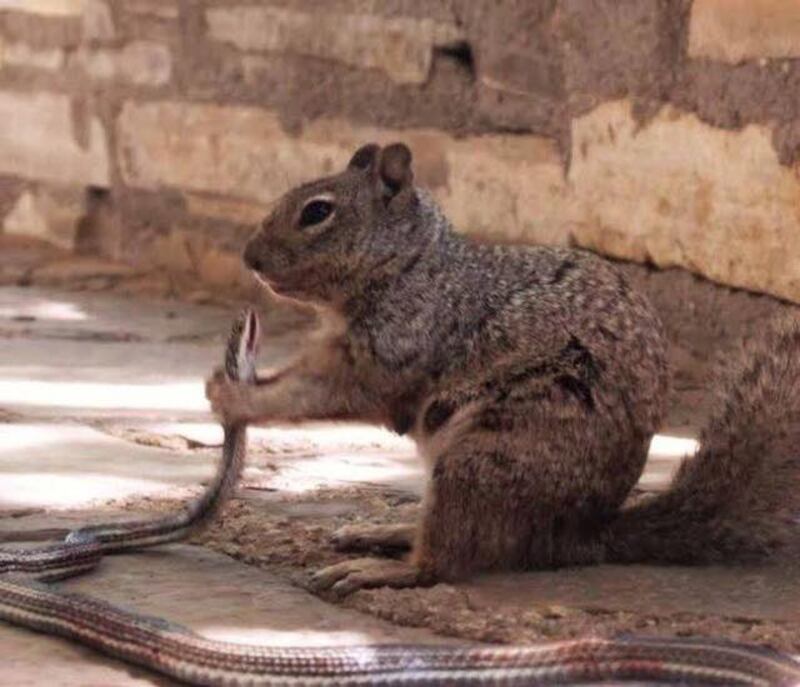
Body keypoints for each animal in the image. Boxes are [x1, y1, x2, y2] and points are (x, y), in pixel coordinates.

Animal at [205, 141, 800, 596]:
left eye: (317, 212)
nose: (249, 258)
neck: (411, 267)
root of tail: (578, 534)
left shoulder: (395, 349)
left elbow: (319, 393)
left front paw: (234, 397)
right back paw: (389, 529)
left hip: (483, 459)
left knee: (447, 561)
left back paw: (383, 569)